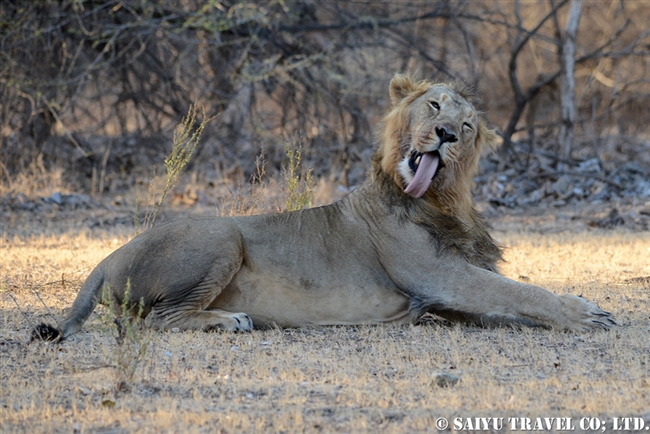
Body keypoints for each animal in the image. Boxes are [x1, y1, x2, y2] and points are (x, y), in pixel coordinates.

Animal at [34, 73, 612, 340]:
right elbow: (520, 290)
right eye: (433, 105)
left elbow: (510, 301)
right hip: (221, 235)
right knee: (151, 321)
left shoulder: (447, 296)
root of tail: (107, 256)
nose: (447, 133)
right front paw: (588, 312)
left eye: (467, 127)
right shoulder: (438, 276)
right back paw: (230, 321)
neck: (441, 200)